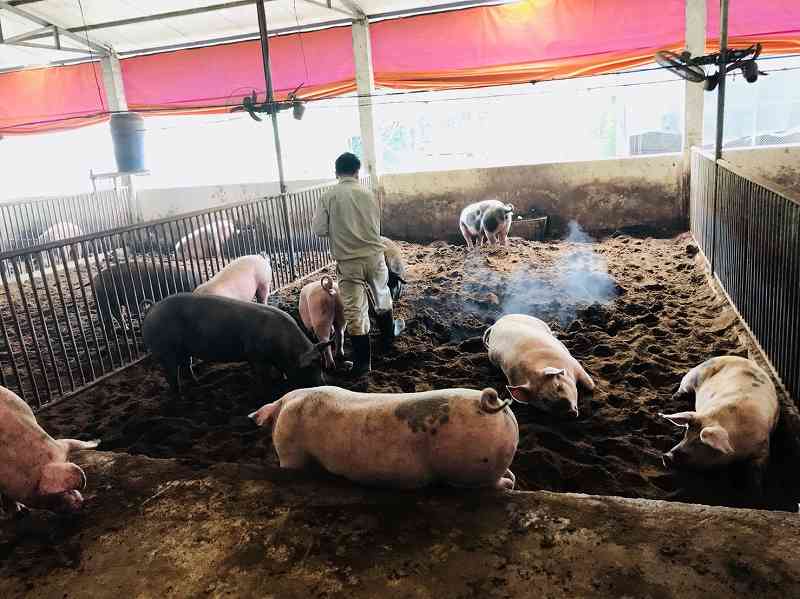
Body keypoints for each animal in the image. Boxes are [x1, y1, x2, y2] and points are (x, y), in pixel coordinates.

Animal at [143, 294, 328, 394]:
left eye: (322, 364)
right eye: (310, 366)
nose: (322, 384)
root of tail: (151, 310)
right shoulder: (255, 355)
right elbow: (262, 375)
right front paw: (266, 390)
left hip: (183, 350)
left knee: (185, 366)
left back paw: (198, 384)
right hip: (165, 350)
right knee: (171, 374)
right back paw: (179, 395)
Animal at [660, 356, 780, 488]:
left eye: (701, 443)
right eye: (686, 434)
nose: (666, 456)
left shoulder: (763, 445)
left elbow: (757, 471)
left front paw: (755, 488)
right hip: (692, 377)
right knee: (683, 387)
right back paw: (675, 397)